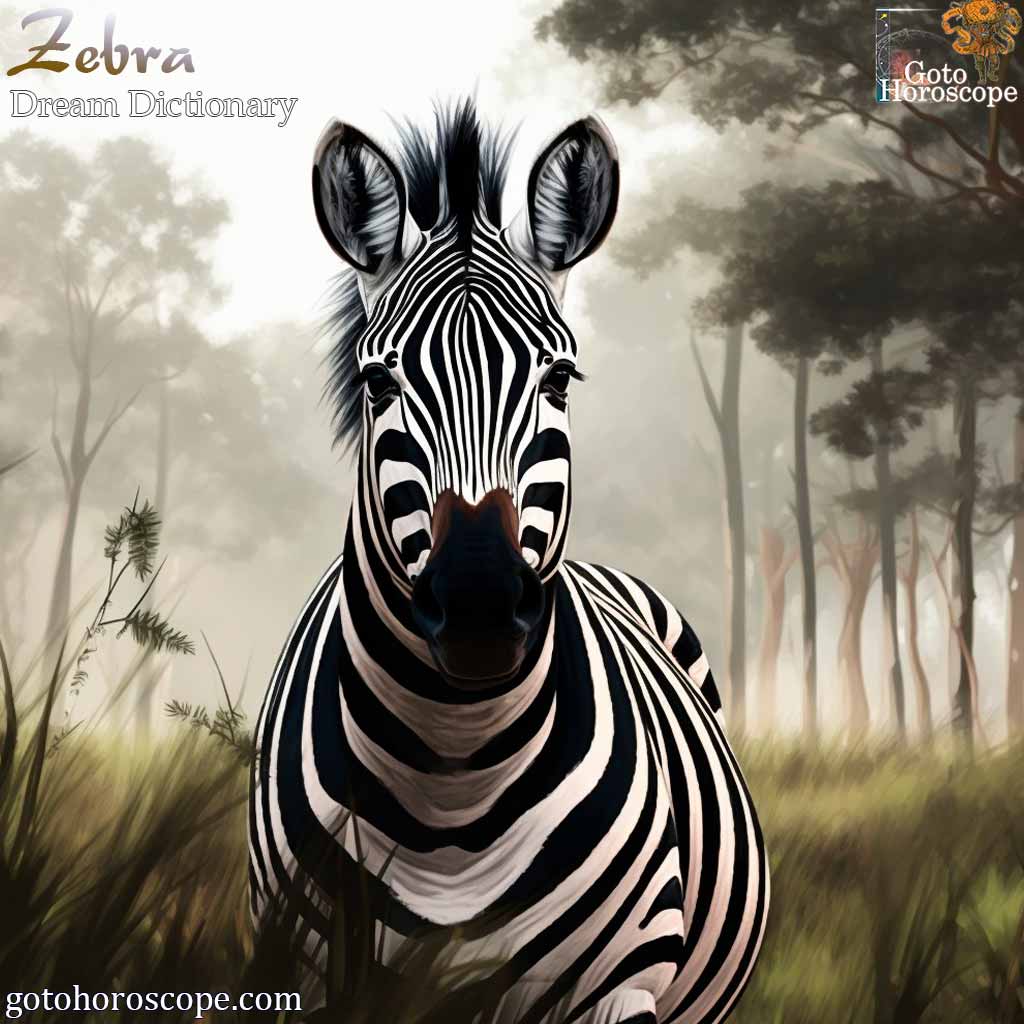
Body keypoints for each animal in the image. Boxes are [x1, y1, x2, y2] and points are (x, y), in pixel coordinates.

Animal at [248, 99, 768, 1024]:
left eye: (560, 381)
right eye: (378, 386)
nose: (481, 607)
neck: (452, 782)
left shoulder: (619, 991)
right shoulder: (308, 975)